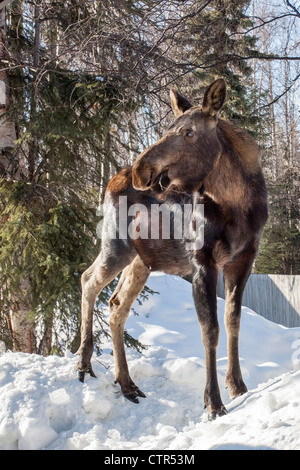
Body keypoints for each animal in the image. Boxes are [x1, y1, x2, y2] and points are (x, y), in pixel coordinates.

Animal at [76, 79, 268, 420]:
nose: (142, 170)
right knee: (88, 280)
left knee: (116, 305)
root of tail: (112, 180)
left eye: (188, 132)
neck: (237, 203)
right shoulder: (202, 260)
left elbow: (233, 321)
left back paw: (127, 384)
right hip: (115, 244)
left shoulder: (244, 259)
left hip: (141, 261)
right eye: (167, 128)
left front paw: (238, 386)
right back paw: (84, 363)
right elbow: (210, 330)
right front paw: (213, 402)